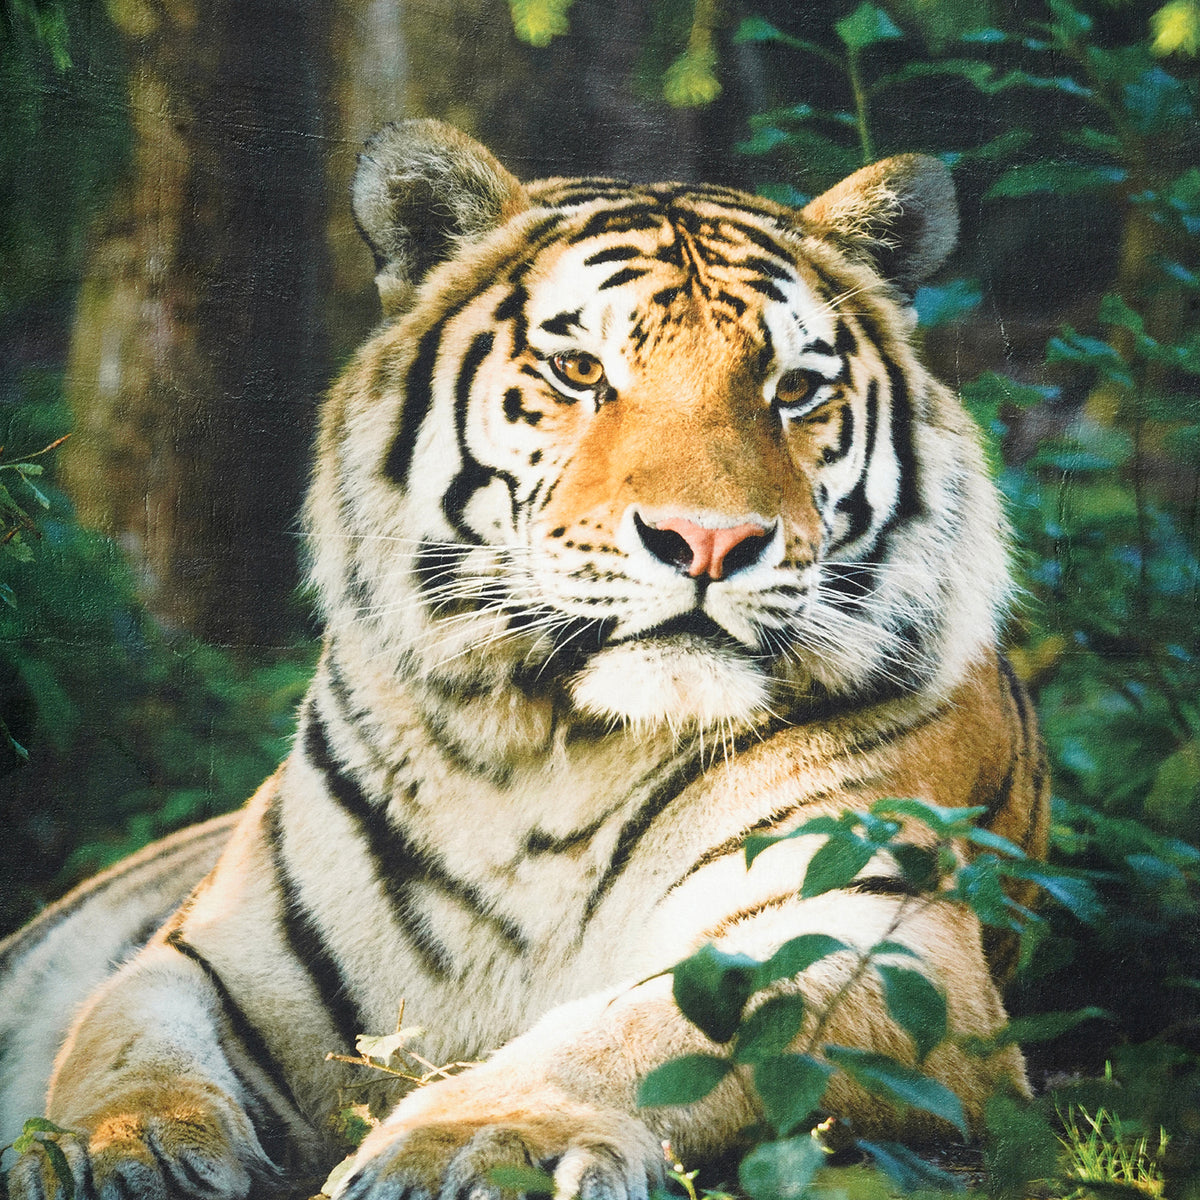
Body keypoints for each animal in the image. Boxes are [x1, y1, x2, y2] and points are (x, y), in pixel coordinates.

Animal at [1, 118, 1049, 1200]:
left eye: (794, 389)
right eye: (580, 372)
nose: (708, 542)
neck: (547, 750)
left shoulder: (878, 935)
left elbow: (641, 1035)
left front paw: (471, 1142)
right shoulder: (217, 952)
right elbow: (119, 1036)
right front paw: (112, 1150)